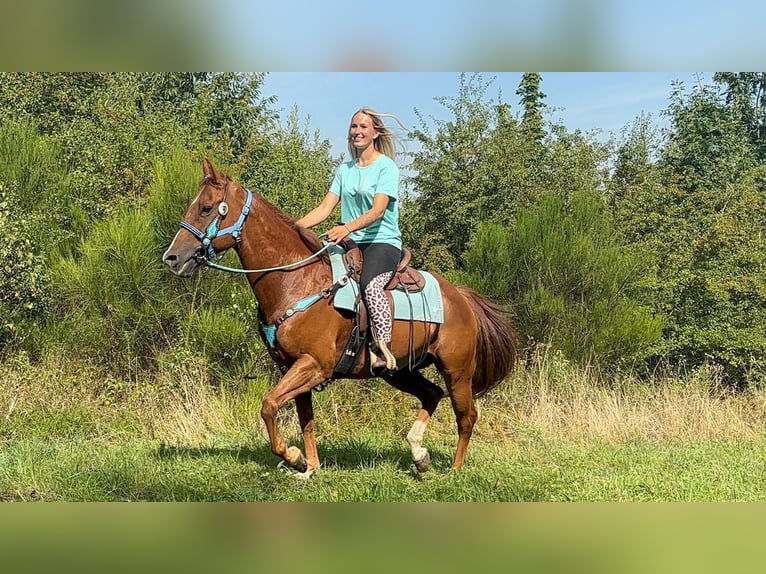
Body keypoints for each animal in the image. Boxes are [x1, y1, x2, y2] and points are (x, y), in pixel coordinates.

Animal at [162, 159, 519, 475]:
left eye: (206, 208)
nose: (172, 258)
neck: (297, 281)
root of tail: (460, 296)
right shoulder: (292, 367)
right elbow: (304, 418)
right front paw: (309, 467)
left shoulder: (315, 365)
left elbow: (268, 405)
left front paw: (293, 457)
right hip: (400, 371)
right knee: (432, 395)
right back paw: (420, 456)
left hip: (457, 371)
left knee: (466, 416)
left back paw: (455, 471)